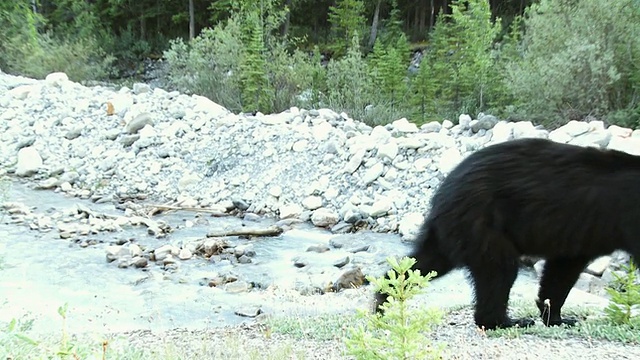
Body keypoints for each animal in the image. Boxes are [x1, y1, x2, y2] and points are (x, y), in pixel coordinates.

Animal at [372, 137, 640, 330]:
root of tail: (443, 192)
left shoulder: (580, 237)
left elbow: (561, 270)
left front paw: (556, 317)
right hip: (482, 224)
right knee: (499, 271)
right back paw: (505, 321)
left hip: (451, 231)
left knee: (425, 262)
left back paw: (383, 300)